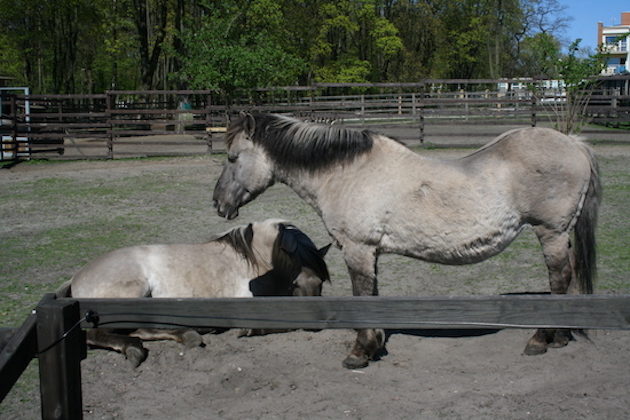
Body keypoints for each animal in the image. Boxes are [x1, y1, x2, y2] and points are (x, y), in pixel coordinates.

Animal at [58, 220, 330, 368]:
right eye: (294, 283)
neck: (256, 260)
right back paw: (134, 349)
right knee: (97, 334)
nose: (315, 324)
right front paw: (249, 330)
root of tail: (77, 277)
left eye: (321, 282)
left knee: (141, 328)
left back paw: (190, 333)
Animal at [212, 111, 604, 368]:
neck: (347, 173)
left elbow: (361, 296)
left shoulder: (357, 249)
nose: (218, 204)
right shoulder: (371, 252)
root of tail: (573, 143)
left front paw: (359, 352)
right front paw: (375, 345)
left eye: (232, 157)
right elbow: (372, 295)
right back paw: (561, 336)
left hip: (550, 232)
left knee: (559, 278)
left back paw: (540, 339)